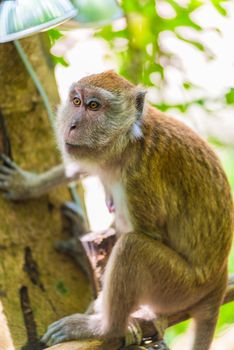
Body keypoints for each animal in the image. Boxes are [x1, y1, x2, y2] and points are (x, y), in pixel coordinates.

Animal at [13, 70, 234, 348]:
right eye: (76, 101)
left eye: (93, 106)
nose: (71, 125)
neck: (128, 141)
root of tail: (218, 279)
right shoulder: (100, 157)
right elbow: (78, 165)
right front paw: (27, 185)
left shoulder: (138, 180)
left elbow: (149, 235)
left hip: (181, 288)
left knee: (132, 247)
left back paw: (106, 328)